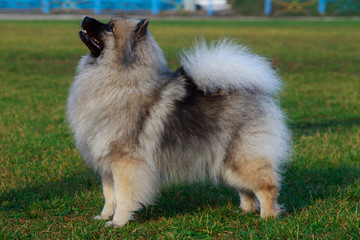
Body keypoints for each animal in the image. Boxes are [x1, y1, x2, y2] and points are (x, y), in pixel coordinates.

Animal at [67, 16, 292, 227]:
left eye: (110, 28)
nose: (86, 18)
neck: (120, 80)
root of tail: (250, 92)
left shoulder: (125, 163)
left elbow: (123, 196)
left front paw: (118, 222)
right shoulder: (106, 165)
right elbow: (109, 195)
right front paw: (104, 216)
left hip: (241, 159)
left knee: (267, 186)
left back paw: (268, 217)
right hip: (226, 164)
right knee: (246, 189)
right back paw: (245, 211)